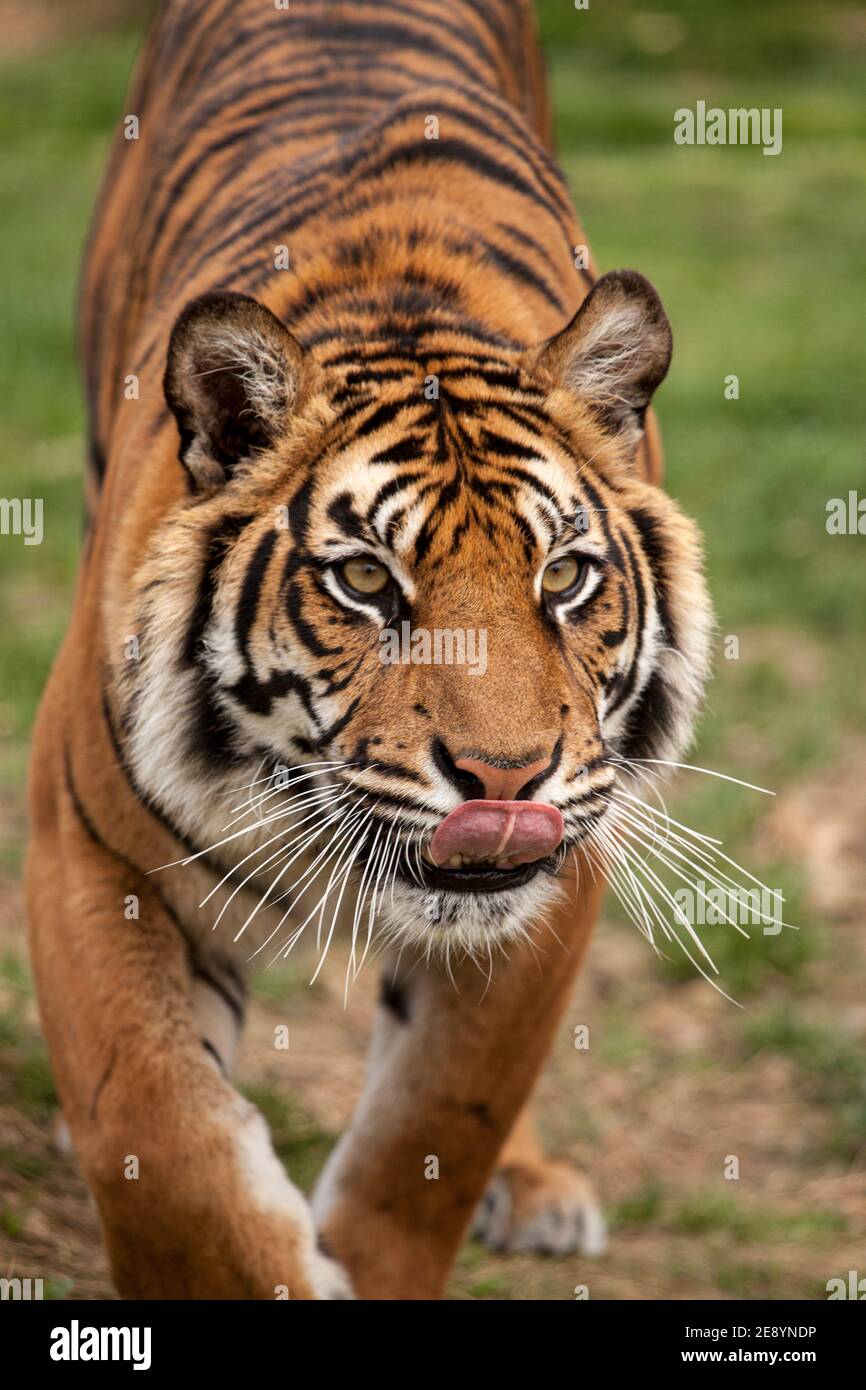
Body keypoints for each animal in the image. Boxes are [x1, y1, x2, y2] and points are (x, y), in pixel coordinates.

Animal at [28, 0, 711, 1301]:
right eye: (363, 581)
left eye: (562, 578)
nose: (505, 782)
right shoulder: (90, 848)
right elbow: (162, 1139)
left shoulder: (561, 879)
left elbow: (432, 1130)